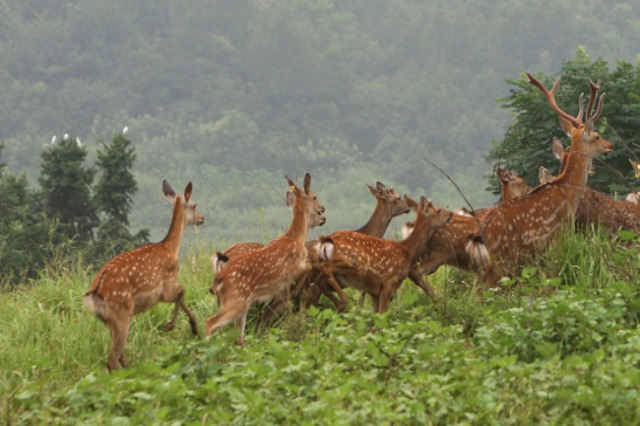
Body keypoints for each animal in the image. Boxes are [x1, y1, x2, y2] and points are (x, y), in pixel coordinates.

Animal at [82, 178, 202, 372]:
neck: (171, 249)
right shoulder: (166, 286)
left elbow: (181, 294)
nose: (201, 218)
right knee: (112, 358)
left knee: (119, 355)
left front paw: (192, 327)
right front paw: (175, 326)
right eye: (194, 204)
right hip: (122, 313)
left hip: (110, 321)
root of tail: (94, 294)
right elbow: (182, 291)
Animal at [205, 173, 324, 342]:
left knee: (237, 333)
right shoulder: (294, 268)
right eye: (315, 197)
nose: (323, 209)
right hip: (236, 301)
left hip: (239, 303)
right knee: (211, 323)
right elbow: (309, 266)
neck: (296, 238)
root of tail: (218, 278)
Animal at [318, 196, 452, 312]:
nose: (451, 214)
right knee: (326, 268)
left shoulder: (375, 291)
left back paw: (339, 305)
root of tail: (325, 242)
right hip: (351, 262)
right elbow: (382, 316)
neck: (408, 252)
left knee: (320, 282)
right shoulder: (389, 282)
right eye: (438, 210)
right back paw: (344, 301)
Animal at [468, 73, 612, 286]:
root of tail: (479, 237)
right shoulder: (557, 236)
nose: (610, 146)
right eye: (596, 135)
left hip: (484, 269)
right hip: (502, 259)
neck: (569, 194)